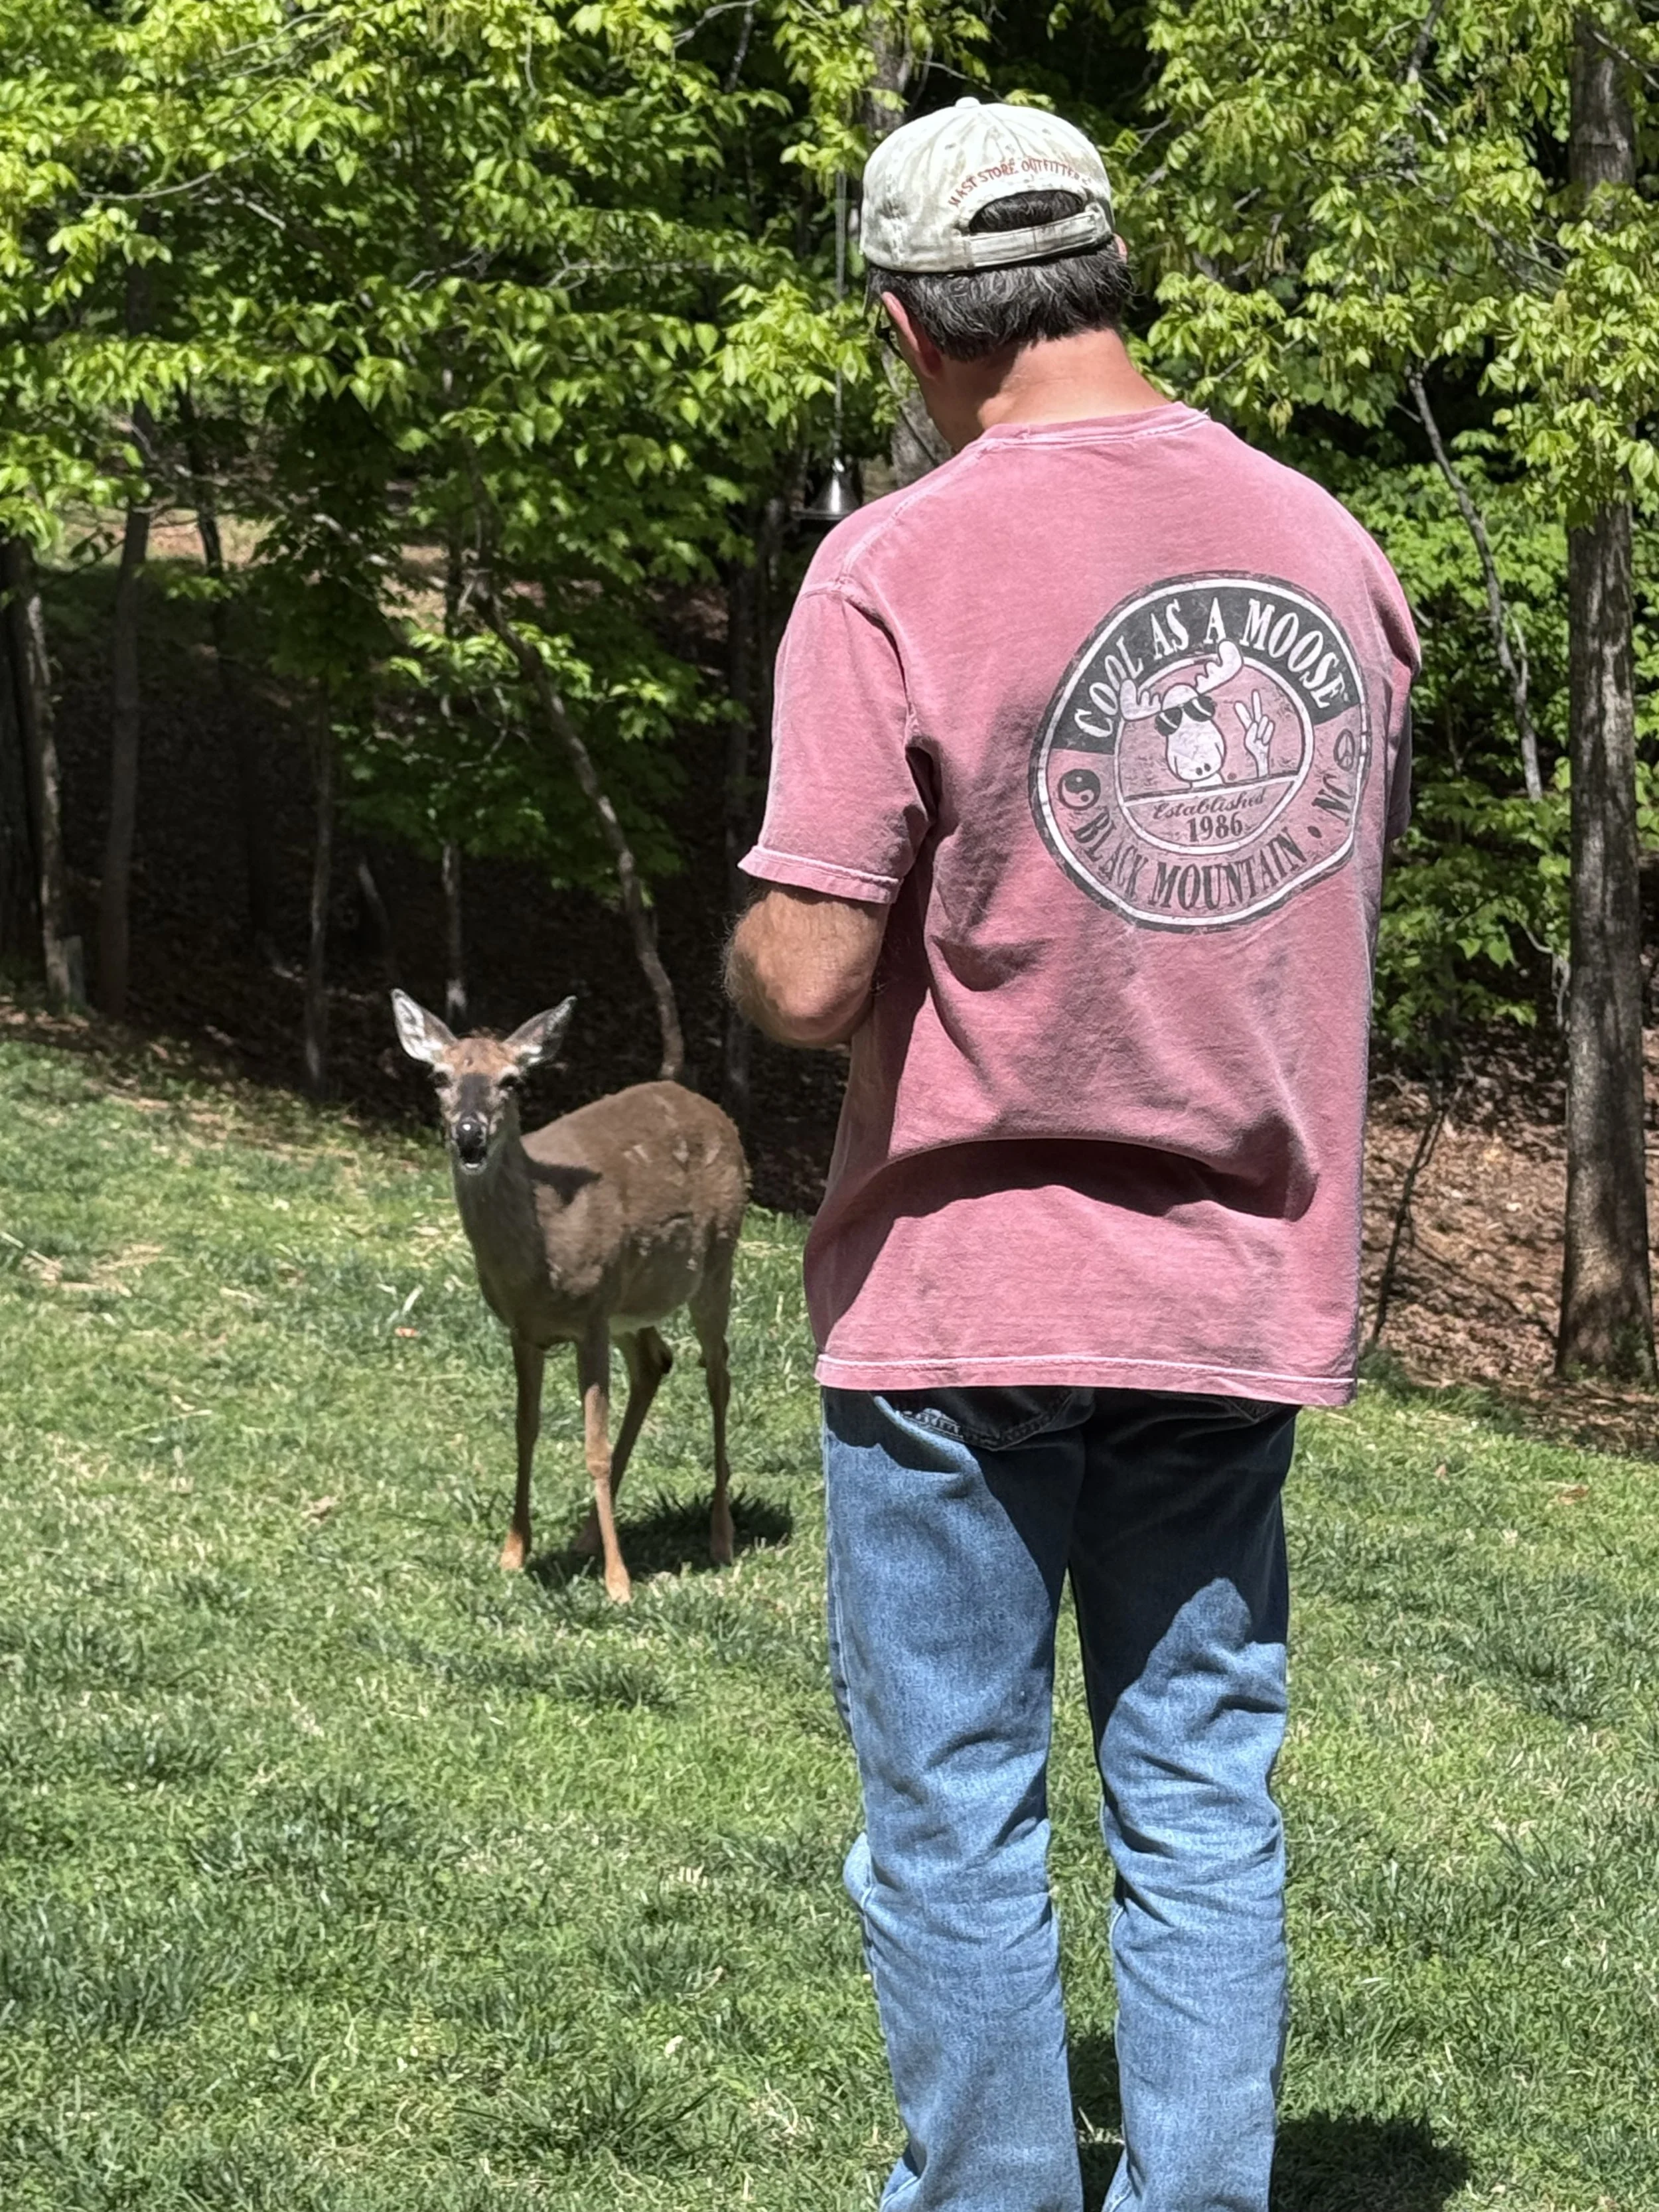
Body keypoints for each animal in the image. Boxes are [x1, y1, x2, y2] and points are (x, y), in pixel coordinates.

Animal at [391, 990, 749, 1604]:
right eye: (439, 1075)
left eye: (512, 1080)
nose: (469, 1134)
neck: (540, 1254)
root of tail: (708, 1107)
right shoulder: (523, 1328)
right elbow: (524, 1428)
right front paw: (513, 1552)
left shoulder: (591, 1316)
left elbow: (594, 1448)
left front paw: (619, 1581)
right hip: (633, 1301)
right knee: (657, 1360)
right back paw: (586, 1535)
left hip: (716, 1263)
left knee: (718, 1373)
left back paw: (720, 1537)